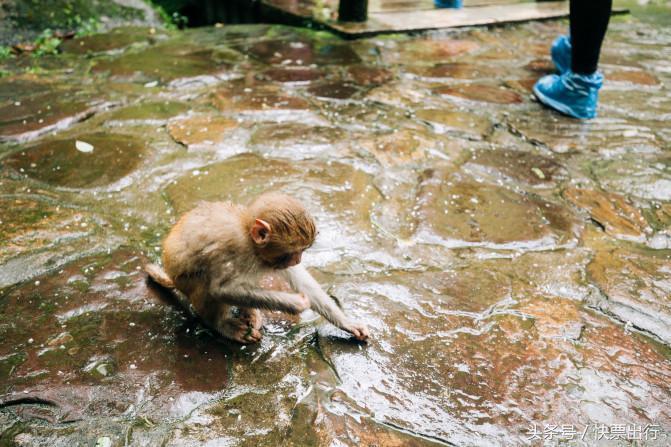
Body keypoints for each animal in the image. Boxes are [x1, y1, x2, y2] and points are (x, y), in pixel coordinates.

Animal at [144, 191, 370, 344]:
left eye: (302, 251)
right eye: (292, 252)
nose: (297, 260)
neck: (249, 239)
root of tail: (171, 276)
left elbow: (301, 281)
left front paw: (347, 323)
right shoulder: (234, 250)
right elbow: (220, 289)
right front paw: (295, 303)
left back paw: (250, 312)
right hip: (186, 281)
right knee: (205, 283)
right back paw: (221, 325)